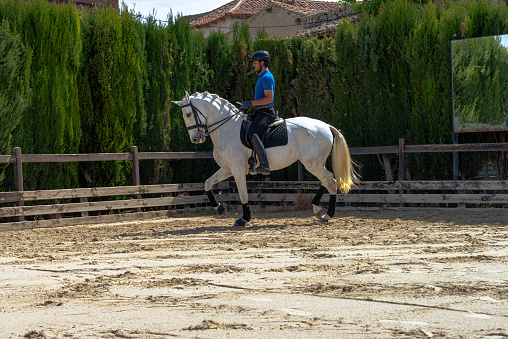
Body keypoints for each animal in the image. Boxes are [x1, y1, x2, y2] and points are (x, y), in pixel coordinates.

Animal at [174, 91, 358, 227]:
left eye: (189, 114)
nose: (195, 139)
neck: (227, 128)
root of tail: (326, 126)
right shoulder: (227, 169)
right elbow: (207, 183)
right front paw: (220, 209)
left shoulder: (237, 170)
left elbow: (243, 195)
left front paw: (244, 219)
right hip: (315, 163)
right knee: (328, 180)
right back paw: (318, 210)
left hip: (312, 163)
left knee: (330, 182)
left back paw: (327, 214)